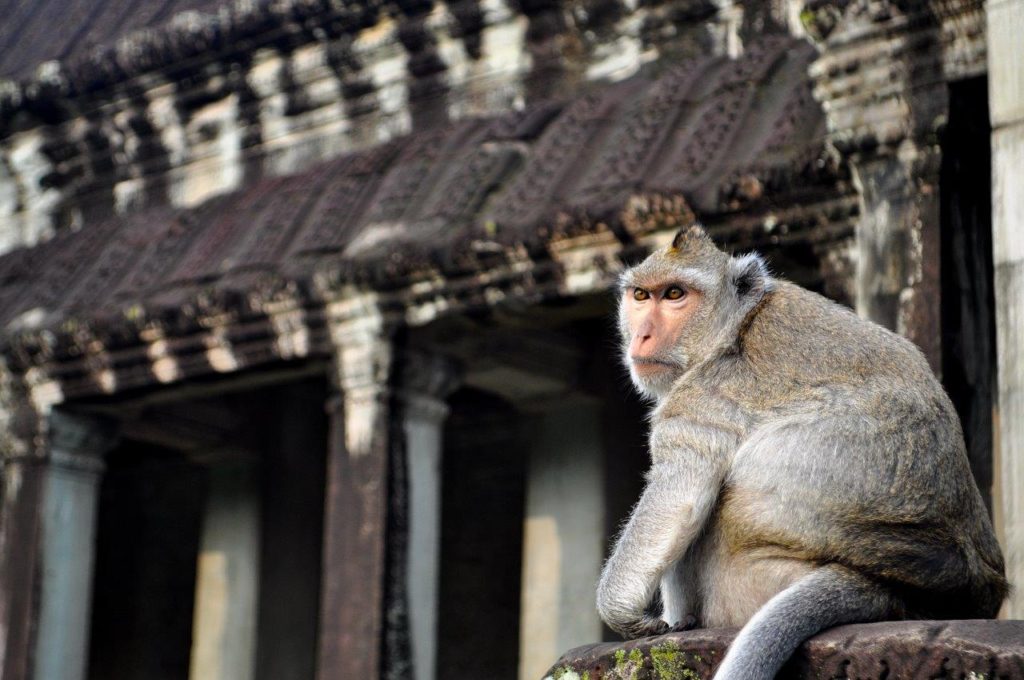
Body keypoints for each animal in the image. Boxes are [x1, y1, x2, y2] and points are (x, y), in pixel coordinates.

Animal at [598, 224, 1003, 680]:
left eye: (674, 294)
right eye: (641, 295)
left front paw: (620, 611)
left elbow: (679, 496)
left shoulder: (704, 395)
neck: (734, 327)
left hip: (749, 584)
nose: (642, 335)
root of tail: (887, 593)